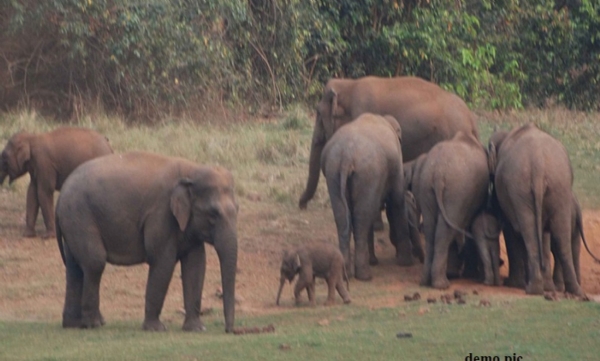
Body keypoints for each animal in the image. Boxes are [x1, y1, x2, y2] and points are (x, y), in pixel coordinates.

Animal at [55, 151, 239, 332]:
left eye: (237, 210)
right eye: (213, 214)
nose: (230, 330)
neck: (191, 170)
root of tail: (60, 197)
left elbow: (196, 264)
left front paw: (197, 329)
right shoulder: (160, 213)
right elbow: (163, 262)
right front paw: (156, 328)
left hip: (73, 221)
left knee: (74, 268)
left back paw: (74, 324)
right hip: (79, 216)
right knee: (95, 263)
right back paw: (94, 324)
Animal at [318, 114, 418, 280]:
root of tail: (347, 156)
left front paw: (375, 261)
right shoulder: (395, 165)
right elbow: (397, 201)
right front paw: (406, 263)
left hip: (334, 171)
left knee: (344, 218)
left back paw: (347, 272)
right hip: (367, 174)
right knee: (361, 218)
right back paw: (365, 275)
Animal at [406, 131, 490, 288]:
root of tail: (438, 172)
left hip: (427, 186)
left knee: (432, 230)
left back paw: (426, 282)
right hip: (456, 191)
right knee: (445, 230)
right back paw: (442, 284)